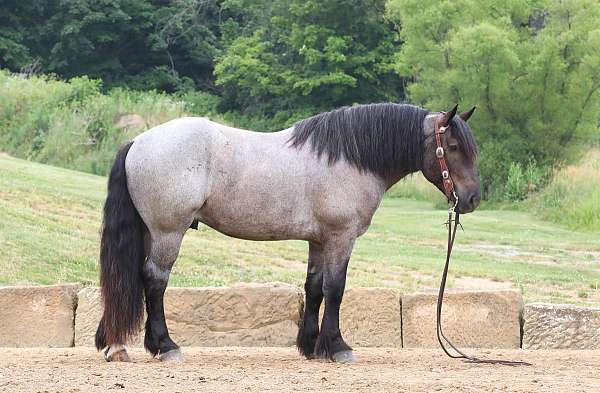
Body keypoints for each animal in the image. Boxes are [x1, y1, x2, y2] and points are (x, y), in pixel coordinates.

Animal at [94, 102, 480, 362]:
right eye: (454, 147)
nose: (473, 198)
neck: (349, 159)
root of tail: (138, 142)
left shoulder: (319, 240)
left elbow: (314, 289)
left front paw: (310, 346)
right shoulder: (340, 238)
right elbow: (336, 289)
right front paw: (337, 347)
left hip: (150, 232)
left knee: (133, 277)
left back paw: (118, 344)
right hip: (168, 233)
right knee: (154, 281)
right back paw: (166, 346)